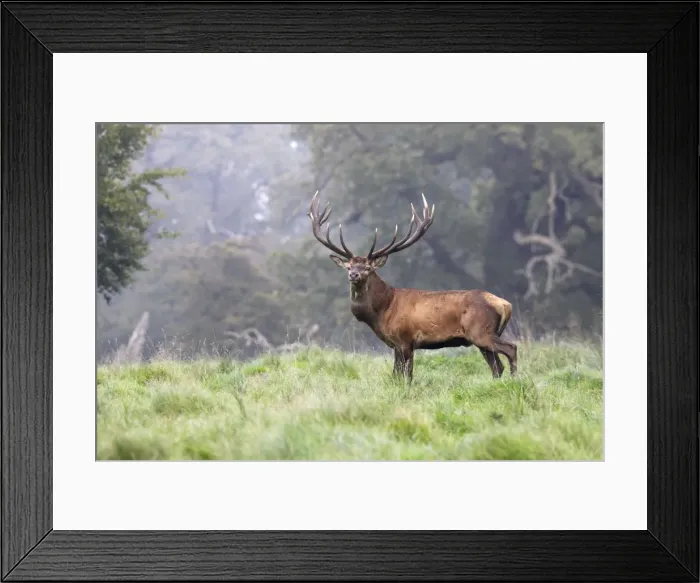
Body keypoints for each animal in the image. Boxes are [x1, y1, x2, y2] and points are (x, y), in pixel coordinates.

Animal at [307, 190, 517, 382]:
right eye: (349, 267)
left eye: (367, 268)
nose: (354, 275)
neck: (381, 311)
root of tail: (505, 305)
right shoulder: (395, 345)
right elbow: (395, 375)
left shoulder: (406, 340)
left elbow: (406, 376)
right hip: (483, 338)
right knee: (497, 366)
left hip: (481, 331)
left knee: (511, 349)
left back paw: (516, 379)